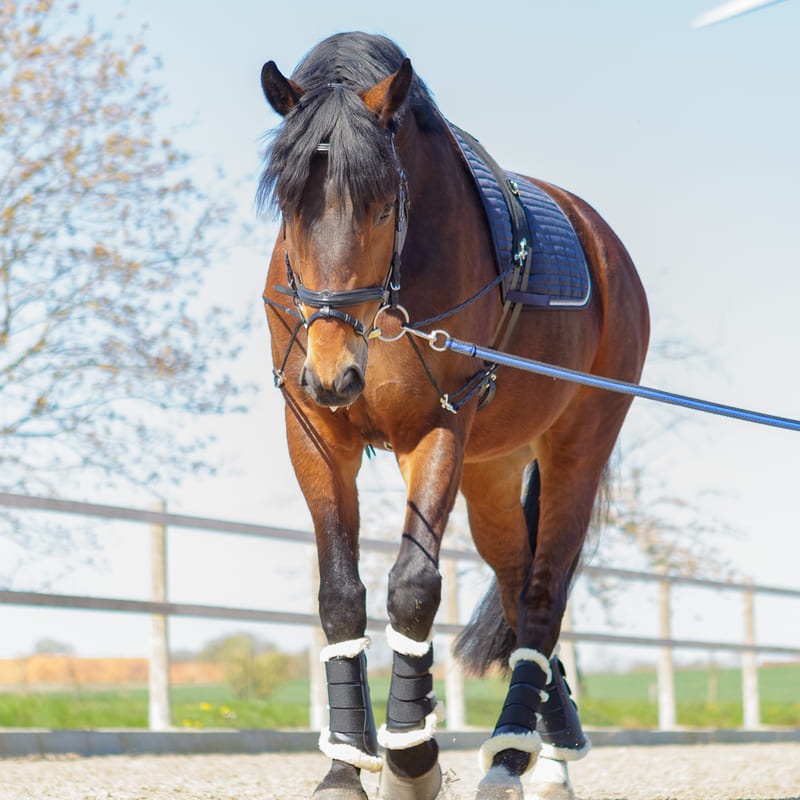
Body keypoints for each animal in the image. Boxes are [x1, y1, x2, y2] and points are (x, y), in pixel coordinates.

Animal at [260, 31, 648, 800]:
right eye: (289, 205)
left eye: (384, 206)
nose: (334, 373)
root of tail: (602, 242)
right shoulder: (314, 431)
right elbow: (340, 595)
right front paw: (344, 766)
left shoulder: (438, 425)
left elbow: (413, 586)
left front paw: (411, 757)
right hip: (492, 468)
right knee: (517, 581)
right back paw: (548, 746)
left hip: (578, 444)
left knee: (543, 593)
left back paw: (510, 756)